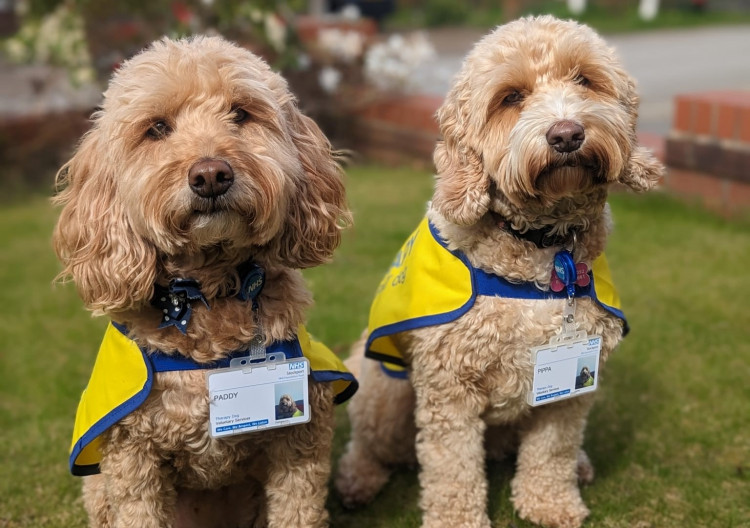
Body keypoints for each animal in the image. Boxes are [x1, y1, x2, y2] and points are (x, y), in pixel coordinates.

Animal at [54, 37, 354, 528]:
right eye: (157, 128)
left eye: (241, 113)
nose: (211, 174)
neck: (209, 295)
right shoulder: (133, 457)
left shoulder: (300, 441)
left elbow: (298, 508)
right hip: (98, 491)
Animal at [340, 15, 664, 528]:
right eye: (511, 97)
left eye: (585, 80)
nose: (567, 134)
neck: (542, 247)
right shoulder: (448, 386)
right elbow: (453, 469)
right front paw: (457, 520)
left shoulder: (571, 383)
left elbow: (551, 451)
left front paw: (550, 503)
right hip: (386, 395)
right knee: (370, 443)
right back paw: (357, 480)